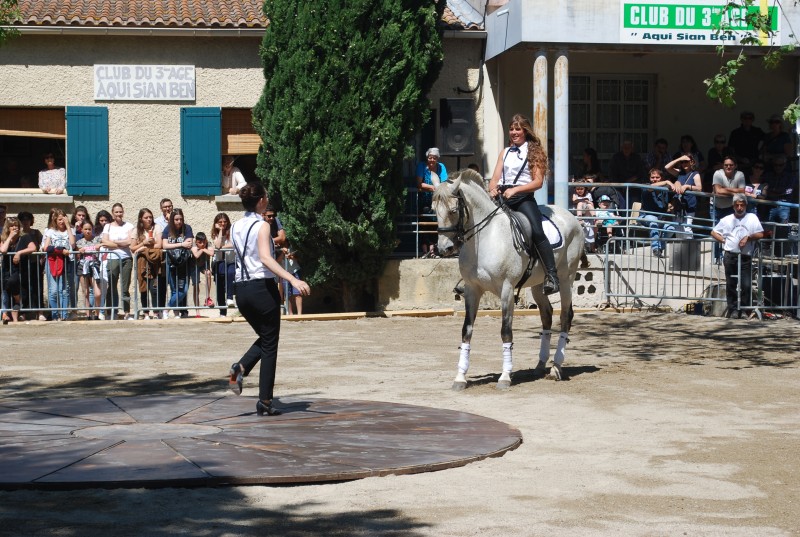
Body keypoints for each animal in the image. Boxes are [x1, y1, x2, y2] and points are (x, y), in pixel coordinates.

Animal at [434, 169, 584, 390]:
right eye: (434, 210)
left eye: (453, 211)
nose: (444, 248)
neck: (485, 238)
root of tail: (571, 217)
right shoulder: (472, 290)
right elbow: (466, 331)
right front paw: (460, 378)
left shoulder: (506, 290)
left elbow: (506, 331)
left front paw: (505, 376)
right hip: (538, 285)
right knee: (546, 315)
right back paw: (540, 365)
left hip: (566, 280)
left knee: (565, 316)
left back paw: (556, 367)